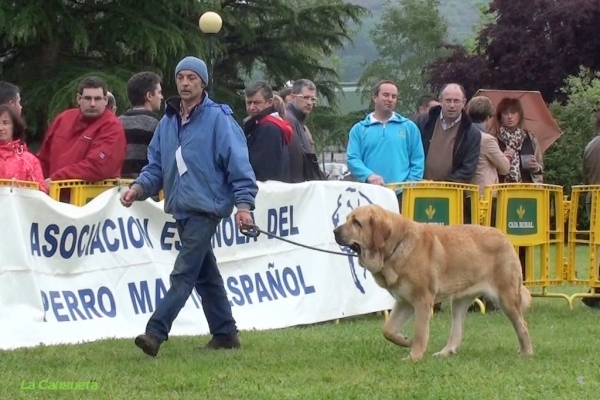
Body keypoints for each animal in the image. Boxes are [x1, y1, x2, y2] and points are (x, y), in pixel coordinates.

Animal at [332, 205, 536, 360]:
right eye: (347, 218)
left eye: (356, 222)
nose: (334, 230)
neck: (395, 246)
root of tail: (504, 237)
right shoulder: (404, 302)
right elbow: (388, 329)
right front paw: (404, 340)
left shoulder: (422, 301)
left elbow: (420, 332)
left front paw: (414, 357)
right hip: (459, 302)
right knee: (457, 330)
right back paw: (446, 352)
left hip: (507, 299)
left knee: (522, 325)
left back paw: (527, 352)